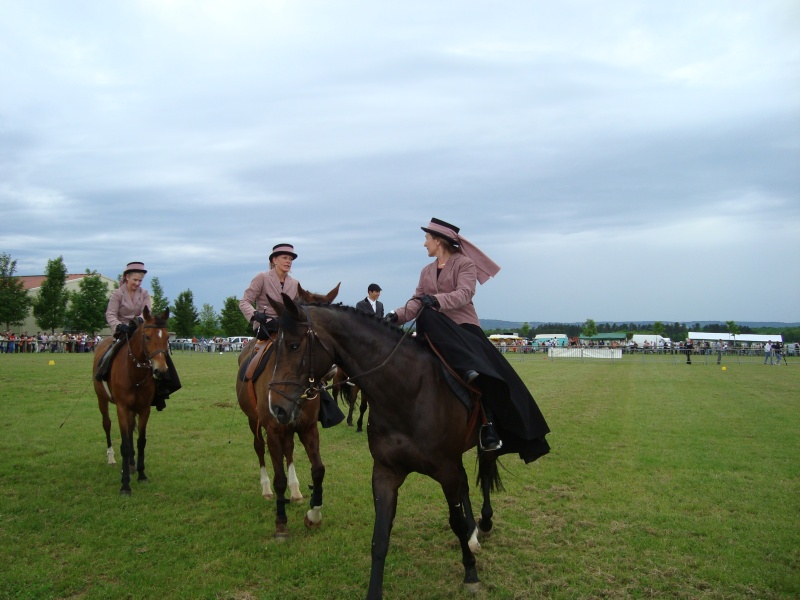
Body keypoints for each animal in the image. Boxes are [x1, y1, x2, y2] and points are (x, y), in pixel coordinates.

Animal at [92, 308, 170, 494]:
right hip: (102, 399)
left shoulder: (144, 408)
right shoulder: (122, 407)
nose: (161, 371)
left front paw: (141, 475)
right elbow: (125, 445)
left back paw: (131, 465)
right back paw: (112, 458)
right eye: (147, 336)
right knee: (107, 424)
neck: (135, 373)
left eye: (167, 337)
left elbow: (140, 441)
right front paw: (125, 484)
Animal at [234, 282, 340, 540]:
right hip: (254, 422)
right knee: (259, 449)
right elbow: (278, 477)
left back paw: (296, 491)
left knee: (289, 450)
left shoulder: (308, 428)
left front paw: (314, 514)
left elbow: (318, 470)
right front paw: (281, 522)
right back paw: (265, 489)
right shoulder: (273, 430)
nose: (333, 367)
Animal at [268, 298, 500, 596]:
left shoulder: (445, 470)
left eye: (294, 346)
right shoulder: (386, 473)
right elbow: (379, 538)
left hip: (482, 447)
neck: (408, 389)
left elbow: (456, 522)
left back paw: (484, 523)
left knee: (485, 475)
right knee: (466, 485)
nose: (276, 408)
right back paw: (473, 534)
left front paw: (471, 573)